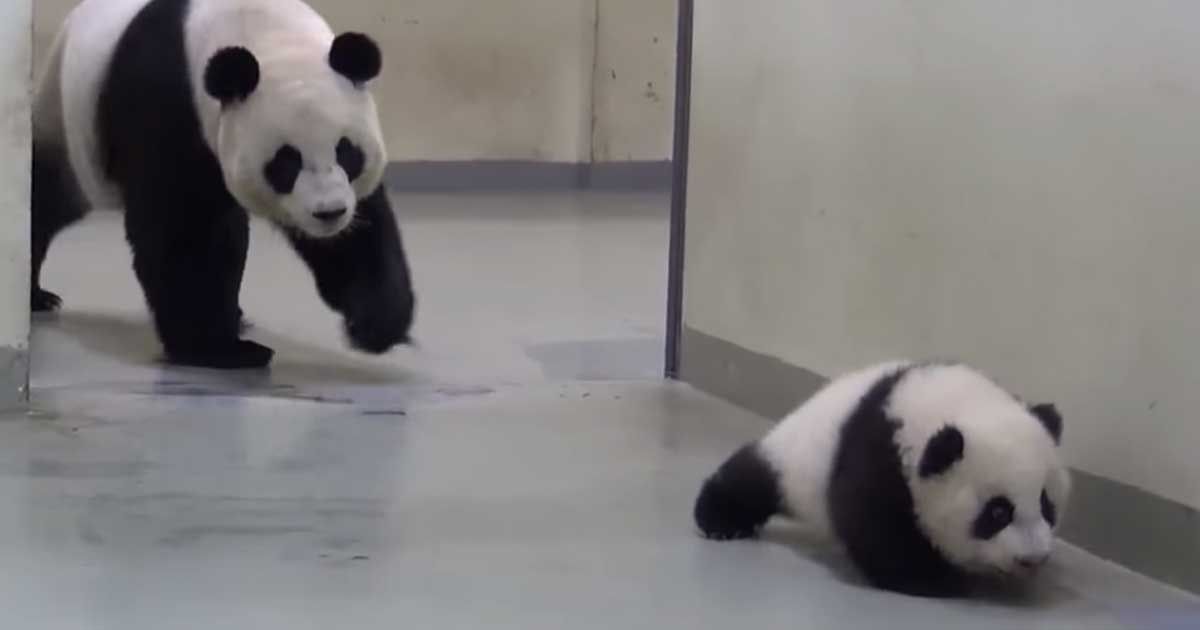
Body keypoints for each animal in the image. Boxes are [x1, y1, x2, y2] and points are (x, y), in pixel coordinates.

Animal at [32, 0, 415, 369]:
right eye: (285, 162)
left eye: (347, 151)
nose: (329, 213)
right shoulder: (168, 100)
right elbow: (185, 231)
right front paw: (219, 350)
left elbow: (358, 235)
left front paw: (376, 324)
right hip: (62, 124)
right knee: (46, 201)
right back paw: (37, 296)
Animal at [693, 360, 1070, 598]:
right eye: (997, 512)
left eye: (1046, 504)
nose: (1033, 559)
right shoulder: (880, 459)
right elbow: (877, 528)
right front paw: (937, 578)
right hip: (795, 459)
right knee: (754, 475)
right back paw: (719, 519)